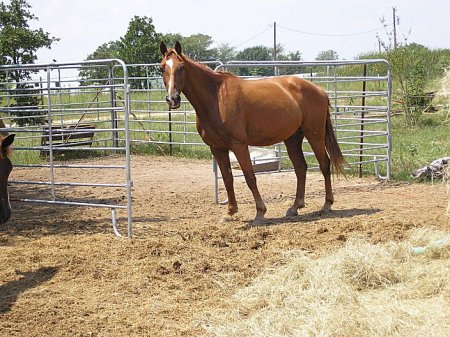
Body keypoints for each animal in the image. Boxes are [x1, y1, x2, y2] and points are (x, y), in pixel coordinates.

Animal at [160, 41, 346, 226]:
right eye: (162, 68)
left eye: (181, 67)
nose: (172, 99)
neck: (216, 98)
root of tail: (320, 90)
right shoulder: (217, 148)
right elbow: (227, 179)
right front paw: (230, 212)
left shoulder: (239, 145)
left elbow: (250, 177)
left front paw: (260, 213)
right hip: (293, 139)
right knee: (301, 168)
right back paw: (295, 207)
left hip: (314, 134)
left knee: (324, 164)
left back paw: (327, 205)